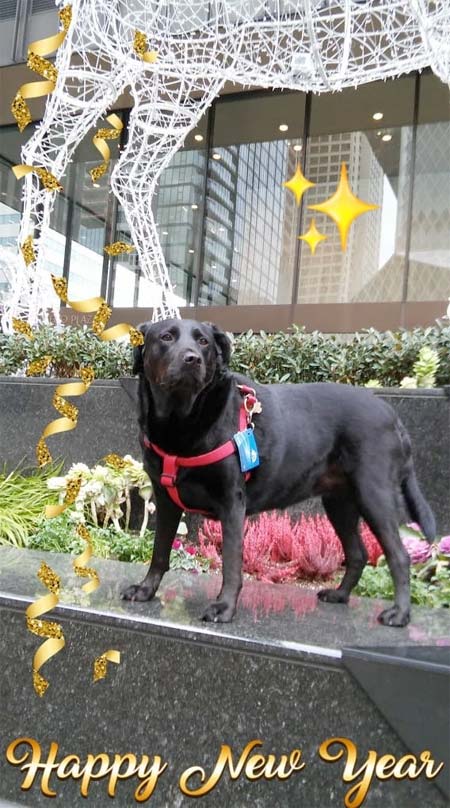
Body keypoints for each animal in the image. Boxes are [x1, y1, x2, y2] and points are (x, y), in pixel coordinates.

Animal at [124, 318, 436, 628]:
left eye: (203, 342)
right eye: (166, 337)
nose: (192, 359)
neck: (181, 420)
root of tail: (391, 414)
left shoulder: (232, 502)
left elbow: (231, 562)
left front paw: (224, 607)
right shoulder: (166, 499)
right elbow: (160, 551)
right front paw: (146, 589)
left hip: (374, 494)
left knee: (400, 556)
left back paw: (400, 613)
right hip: (339, 502)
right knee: (357, 553)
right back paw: (340, 594)